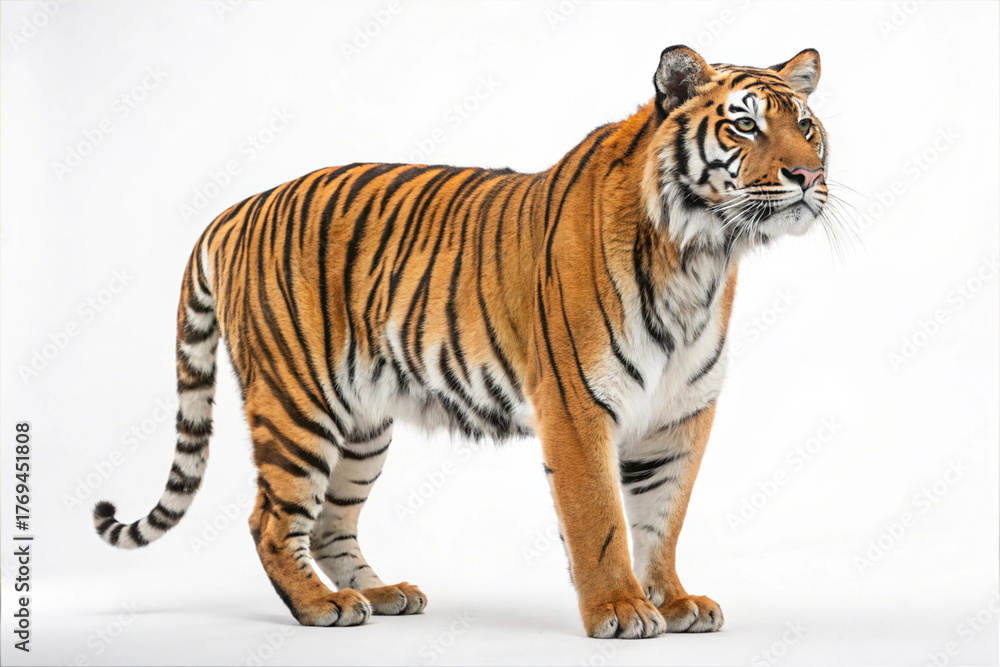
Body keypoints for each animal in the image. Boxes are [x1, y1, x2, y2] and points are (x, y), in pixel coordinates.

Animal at [92, 45, 829, 639]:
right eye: (744, 124)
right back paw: (320, 607)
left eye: (806, 127)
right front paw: (620, 610)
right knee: (271, 520)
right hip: (297, 404)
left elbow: (662, 520)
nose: (808, 177)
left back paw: (382, 593)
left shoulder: (681, 414)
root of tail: (235, 208)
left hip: (362, 425)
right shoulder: (576, 406)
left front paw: (673, 601)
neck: (702, 254)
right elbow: (600, 519)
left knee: (331, 523)